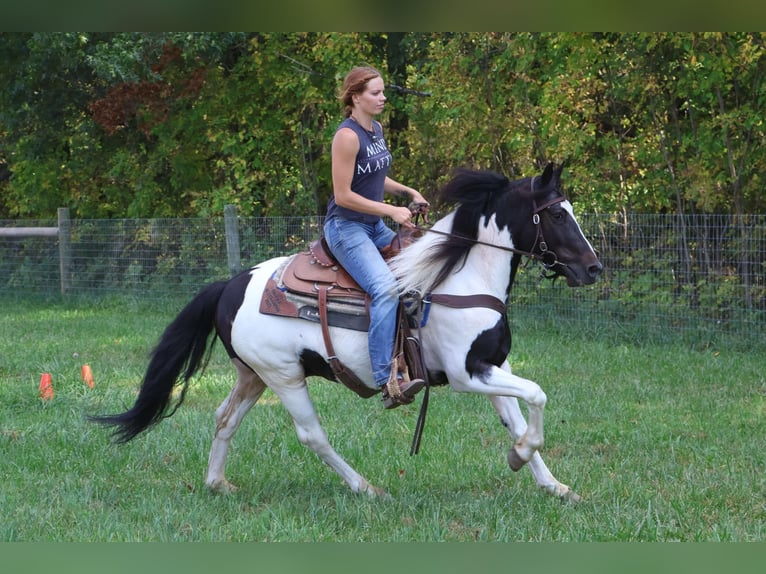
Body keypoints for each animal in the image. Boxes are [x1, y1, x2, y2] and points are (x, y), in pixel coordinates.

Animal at [91, 162, 602, 502]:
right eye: (557, 215)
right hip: (284, 377)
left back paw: (217, 482)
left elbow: (517, 416)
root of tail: (230, 286)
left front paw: (552, 483)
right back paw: (365, 487)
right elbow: (536, 396)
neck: (460, 278)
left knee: (224, 418)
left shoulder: (494, 365)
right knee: (312, 435)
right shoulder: (467, 374)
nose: (594, 268)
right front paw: (521, 456)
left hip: (252, 376)